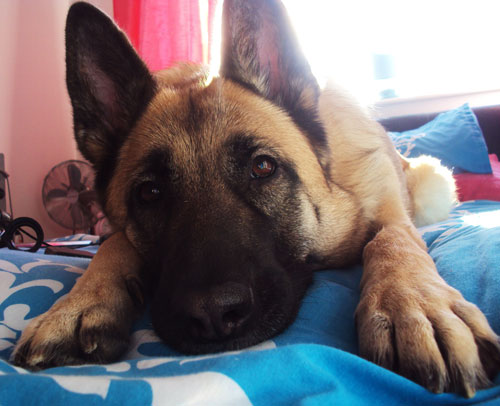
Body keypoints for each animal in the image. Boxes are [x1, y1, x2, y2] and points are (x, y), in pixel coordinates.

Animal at [11, 0, 500, 396]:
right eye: (149, 193)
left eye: (262, 168)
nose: (211, 315)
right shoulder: (115, 229)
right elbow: (111, 243)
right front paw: (80, 302)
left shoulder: (388, 214)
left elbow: (394, 240)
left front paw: (414, 304)